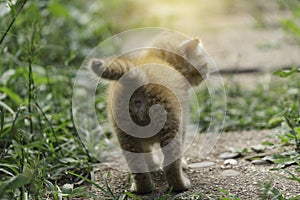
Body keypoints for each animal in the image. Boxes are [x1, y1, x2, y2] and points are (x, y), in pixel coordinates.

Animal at [88, 33, 207, 193]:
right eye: (204, 65)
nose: (206, 74)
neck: (156, 57)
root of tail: (139, 81)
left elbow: (147, 152)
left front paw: (152, 164)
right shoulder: (183, 121)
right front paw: (182, 163)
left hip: (126, 135)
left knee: (136, 165)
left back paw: (143, 189)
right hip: (170, 124)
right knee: (171, 164)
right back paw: (181, 185)